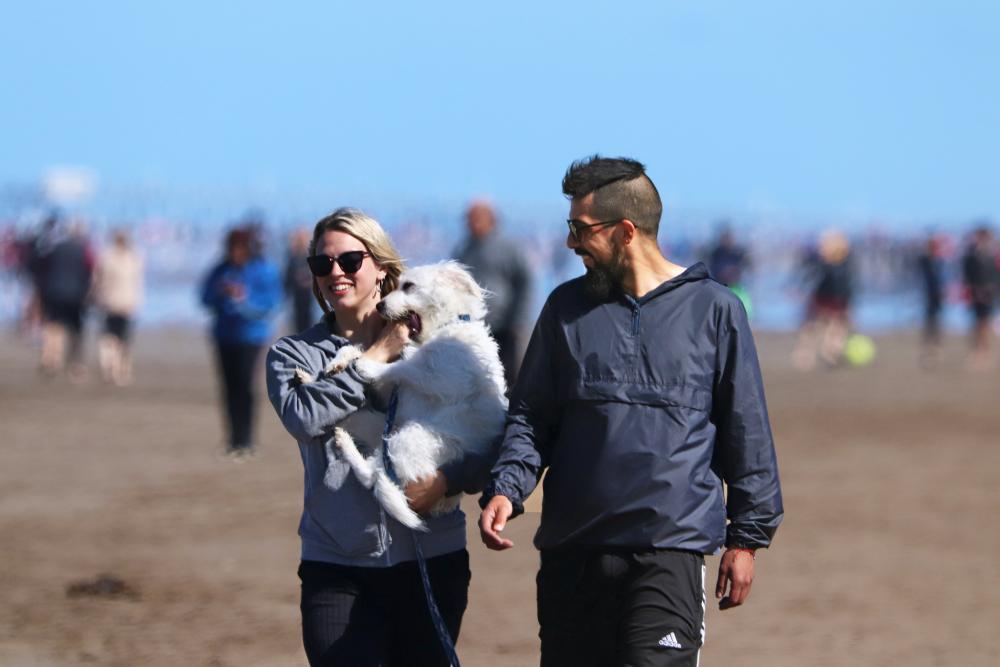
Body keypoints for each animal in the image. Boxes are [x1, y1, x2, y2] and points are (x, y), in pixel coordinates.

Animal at [292, 260, 504, 532]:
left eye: (409, 286)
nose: (379, 306)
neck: (441, 328)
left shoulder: (447, 376)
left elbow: (405, 368)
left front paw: (363, 366)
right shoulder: (391, 390)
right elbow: (361, 353)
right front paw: (338, 362)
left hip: (410, 438)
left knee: (373, 476)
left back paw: (346, 444)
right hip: (378, 425)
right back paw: (310, 382)